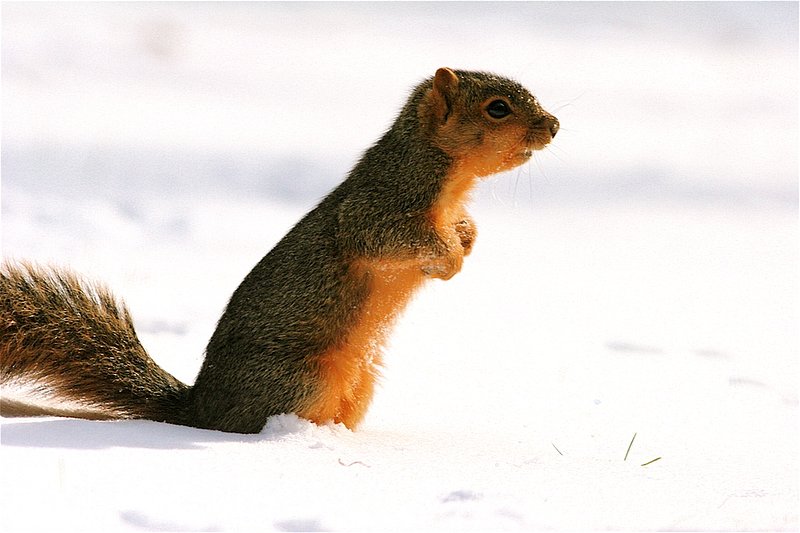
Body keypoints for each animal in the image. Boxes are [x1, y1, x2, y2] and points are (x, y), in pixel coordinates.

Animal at [0, 68, 558, 434]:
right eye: (497, 108)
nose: (553, 125)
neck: (444, 174)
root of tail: (201, 409)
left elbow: (462, 228)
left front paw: (466, 239)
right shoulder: (376, 208)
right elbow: (385, 237)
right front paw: (450, 259)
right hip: (300, 380)